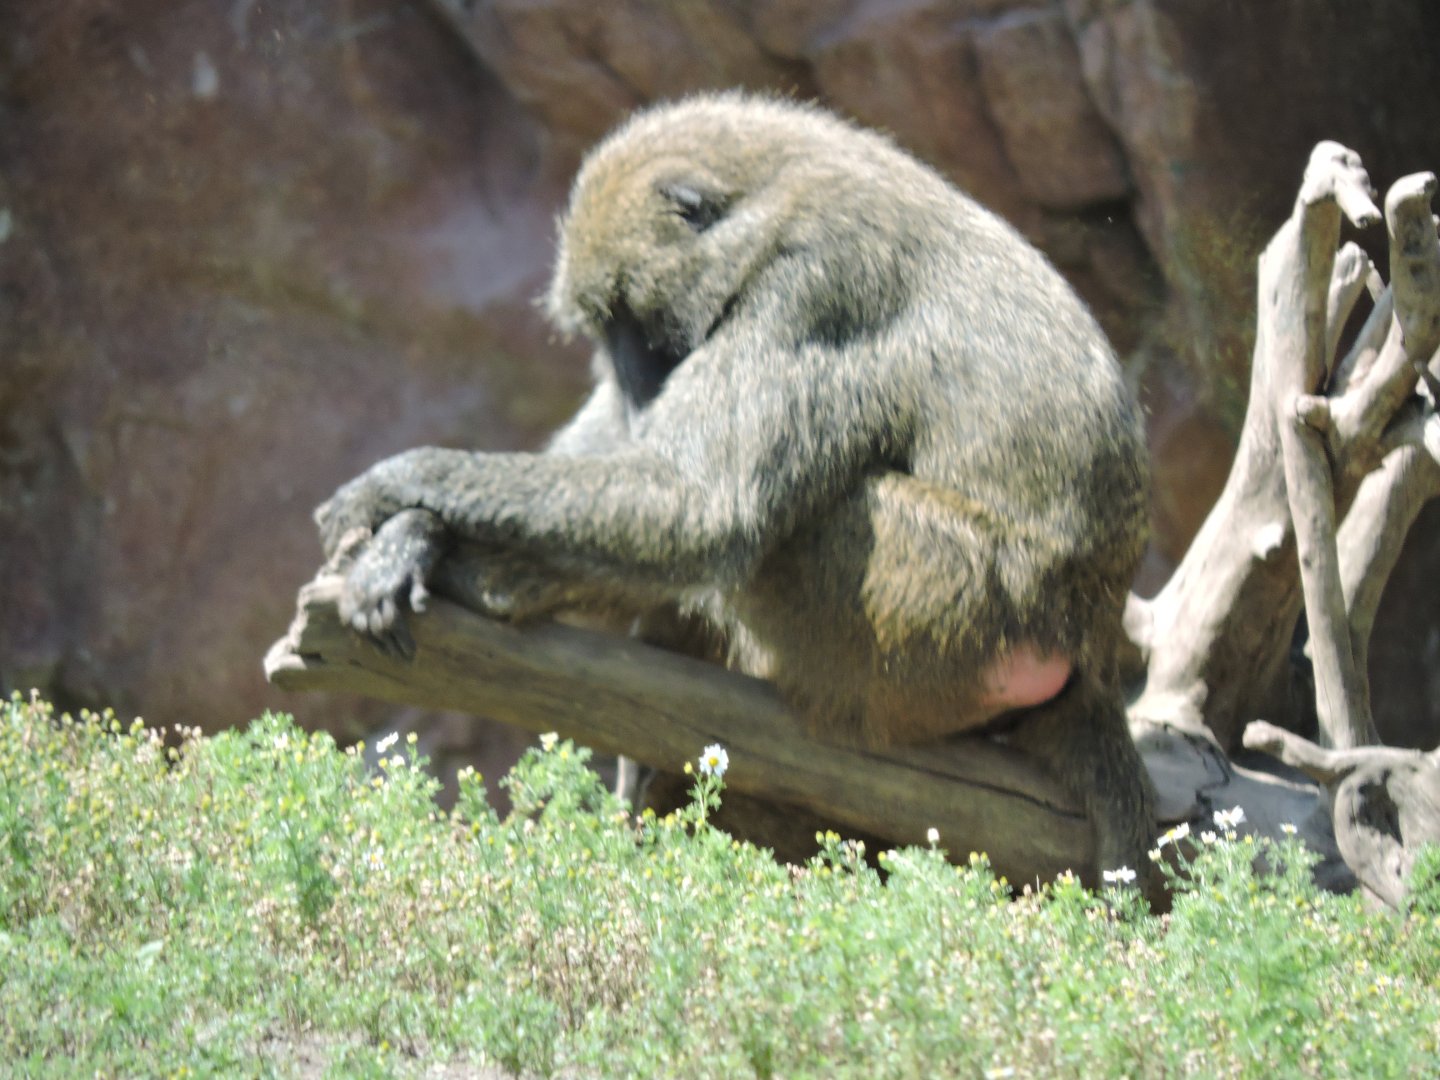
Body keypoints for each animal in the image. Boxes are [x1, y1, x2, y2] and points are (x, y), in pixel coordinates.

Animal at [316, 92, 1155, 879]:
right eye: (603, 326)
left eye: (630, 312)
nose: (634, 380)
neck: (775, 196)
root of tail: (1092, 639)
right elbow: (644, 471)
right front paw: (413, 534)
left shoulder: (812, 287)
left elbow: (700, 509)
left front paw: (399, 488)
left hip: (953, 607)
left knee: (808, 522)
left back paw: (492, 586)